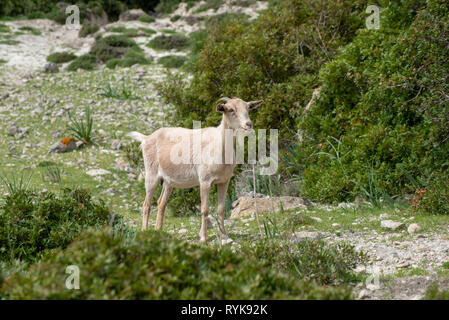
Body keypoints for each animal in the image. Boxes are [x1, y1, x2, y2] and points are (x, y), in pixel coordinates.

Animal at [129, 97, 262, 242]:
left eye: (248, 108)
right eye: (231, 109)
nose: (248, 124)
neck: (219, 147)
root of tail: (146, 138)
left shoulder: (224, 181)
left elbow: (221, 210)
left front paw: (225, 236)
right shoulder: (205, 181)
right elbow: (204, 209)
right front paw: (203, 237)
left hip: (168, 182)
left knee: (161, 203)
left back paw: (158, 231)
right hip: (151, 174)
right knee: (146, 204)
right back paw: (144, 231)